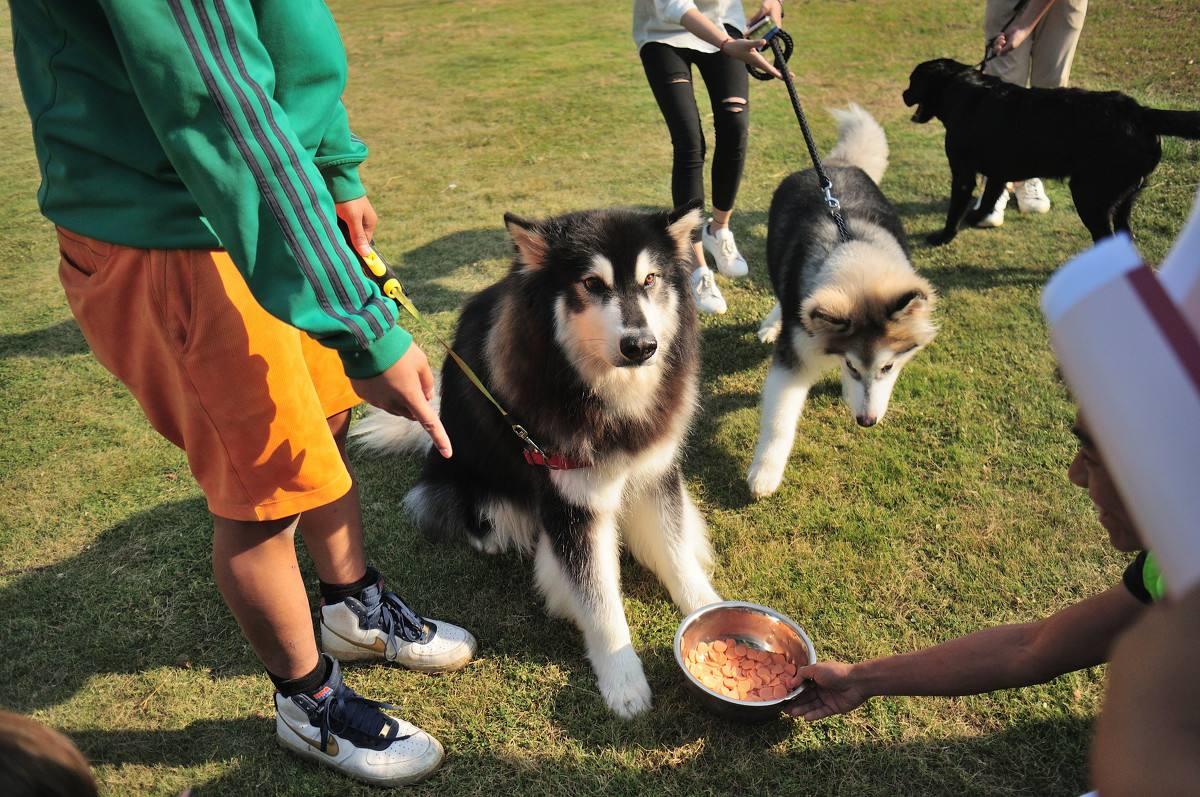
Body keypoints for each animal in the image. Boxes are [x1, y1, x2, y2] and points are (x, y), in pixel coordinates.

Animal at [350, 204, 715, 715]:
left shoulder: (654, 473)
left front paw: (710, 613)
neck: (602, 395)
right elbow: (599, 601)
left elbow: (677, 554)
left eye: (650, 279)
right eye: (592, 284)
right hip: (473, 486)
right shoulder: (571, 503)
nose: (641, 346)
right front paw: (623, 682)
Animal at [748, 102, 936, 494]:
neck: (852, 247)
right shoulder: (795, 353)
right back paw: (772, 323)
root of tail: (834, 164)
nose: (867, 421)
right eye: (851, 365)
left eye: (887, 368)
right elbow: (779, 418)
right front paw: (765, 472)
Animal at [902, 57, 1195, 244]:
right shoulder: (999, 171)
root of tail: (1140, 112)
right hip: (1125, 200)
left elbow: (955, 209)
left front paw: (943, 237)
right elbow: (988, 198)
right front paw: (976, 217)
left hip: (1090, 196)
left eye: (913, 80)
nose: (904, 94)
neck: (960, 89)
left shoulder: (962, 173)